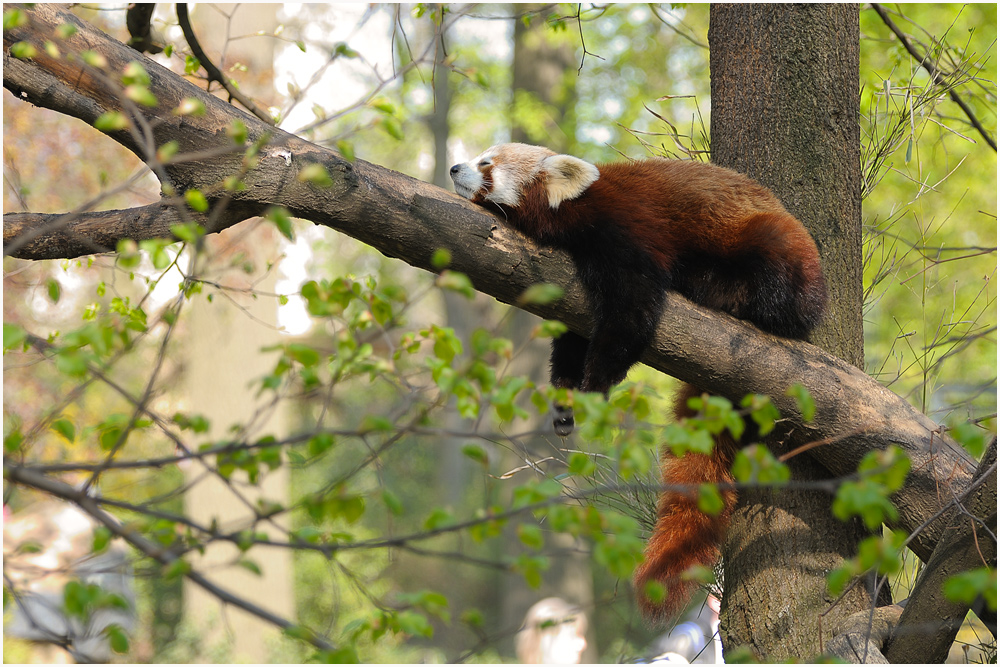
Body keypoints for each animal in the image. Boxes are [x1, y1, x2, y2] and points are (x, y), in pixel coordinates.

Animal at [452, 144, 828, 624]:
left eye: (487, 164)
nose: (454, 167)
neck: (575, 211)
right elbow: (574, 337)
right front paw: (566, 397)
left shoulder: (625, 229)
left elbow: (632, 311)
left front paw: (596, 385)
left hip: (773, 244)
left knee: (775, 283)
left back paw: (718, 287)